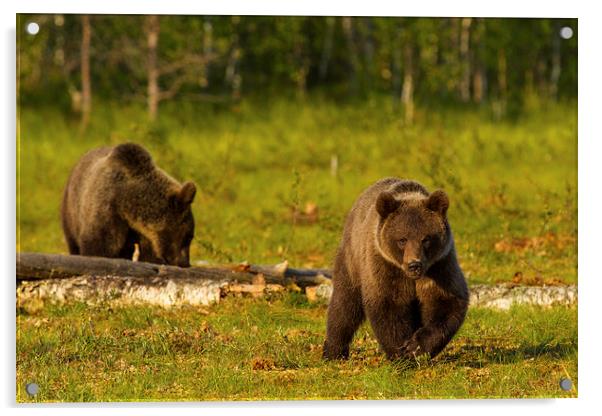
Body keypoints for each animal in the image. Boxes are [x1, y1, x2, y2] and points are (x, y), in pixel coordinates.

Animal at [60, 143, 195, 266]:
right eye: (189, 236)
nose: (185, 263)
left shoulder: (146, 235)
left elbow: (148, 255)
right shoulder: (106, 211)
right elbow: (98, 246)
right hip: (71, 212)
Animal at [322, 177, 466, 360]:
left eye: (426, 239)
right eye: (402, 239)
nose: (414, 264)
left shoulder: (440, 265)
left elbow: (447, 302)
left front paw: (416, 346)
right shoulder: (385, 265)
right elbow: (388, 304)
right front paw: (401, 353)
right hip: (352, 259)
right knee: (344, 304)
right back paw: (333, 351)